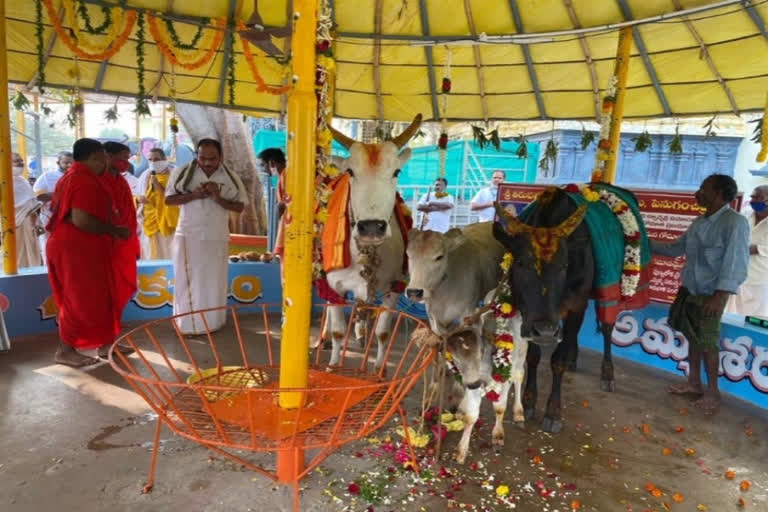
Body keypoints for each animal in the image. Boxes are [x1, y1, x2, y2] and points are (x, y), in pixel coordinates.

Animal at [320, 115, 424, 372]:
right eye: (351, 171)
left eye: (396, 171)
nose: (371, 227)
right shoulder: (335, 284)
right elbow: (338, 331)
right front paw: (333, 365)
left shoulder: (394, 288)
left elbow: (383, 333)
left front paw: (379, 369)